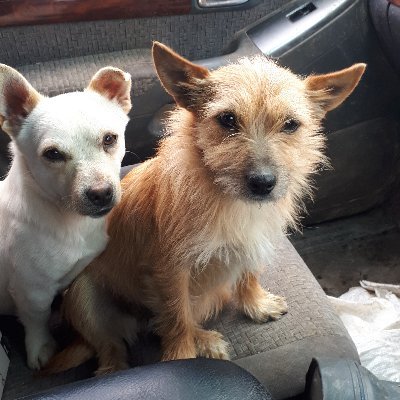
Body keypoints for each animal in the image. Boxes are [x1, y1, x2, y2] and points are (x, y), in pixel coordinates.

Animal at [0, 65, 131, 368]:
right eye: (53, 154)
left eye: (110, 139)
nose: (101, 193)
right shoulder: (31, 291)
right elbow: (37, 320)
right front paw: (40, 346)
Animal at [46, 42, 366, 374]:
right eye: (227, 119)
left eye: (290, 125)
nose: (263, 182)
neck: (225, 196)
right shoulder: (171, 270)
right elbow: (177, 317)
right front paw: (181, 357)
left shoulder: (252, 242)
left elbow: (246, 275)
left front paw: (256, 304)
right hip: (83, 299)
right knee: (116, 347)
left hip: (214, 293)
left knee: (163, 322)